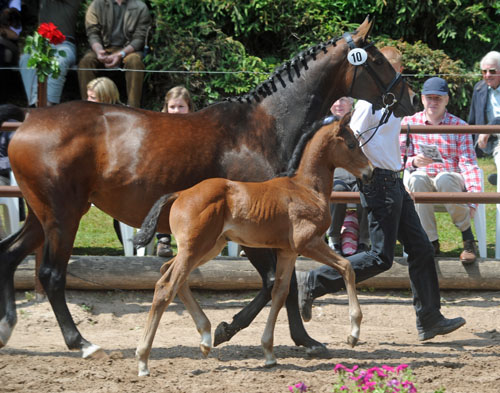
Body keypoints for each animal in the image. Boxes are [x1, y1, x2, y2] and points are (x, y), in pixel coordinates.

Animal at [133, 112, 372, 374]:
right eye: (352, 144)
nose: (369, 170)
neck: (307, 188)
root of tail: (180, 194)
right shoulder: (308, 243)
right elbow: (347, 267)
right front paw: (354, 333)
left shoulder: (287, 251)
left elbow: (280, 292)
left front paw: (268, 351)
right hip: (195, 249)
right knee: (166, 286)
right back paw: (143, 360)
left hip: (207, 248)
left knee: (170, 274)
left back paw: (206, 338)